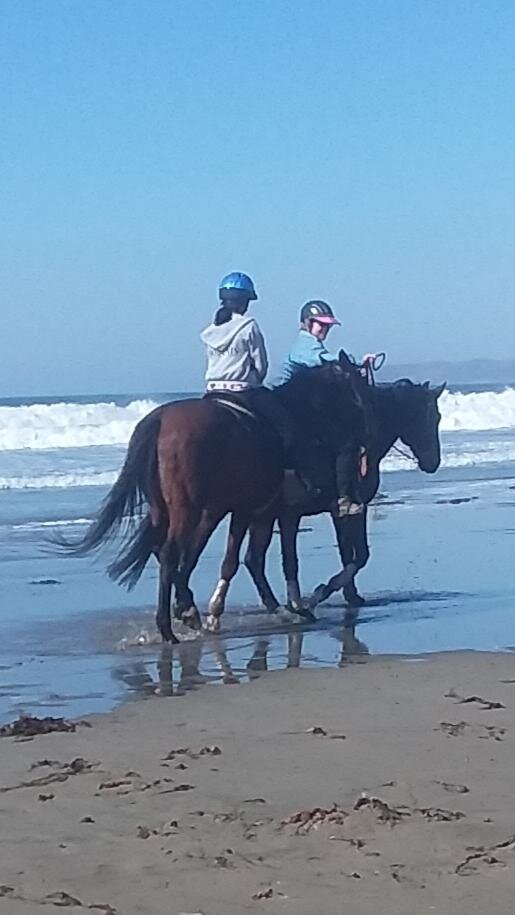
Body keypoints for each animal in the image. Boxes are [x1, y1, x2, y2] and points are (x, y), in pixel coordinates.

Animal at [61, 362, 366, 640]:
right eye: (352, 387)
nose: (359, 431)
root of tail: (160, 419)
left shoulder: (249, 511)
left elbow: (239, 557)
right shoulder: (248, 510)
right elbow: (236, 560)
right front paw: (214, 613)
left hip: (164, 508)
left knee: (163, 550)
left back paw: (186, 612)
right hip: (187, 509)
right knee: (171, 553)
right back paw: (169, 629)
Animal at [204, 380, 446, 628]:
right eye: (433, 416)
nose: (433, 462)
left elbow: (347, 554)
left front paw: (349, 595)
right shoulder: (346, 510)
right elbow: (359, 555)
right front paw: (320, 593)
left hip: (261, 515)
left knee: (253, 560)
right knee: (251, 559)